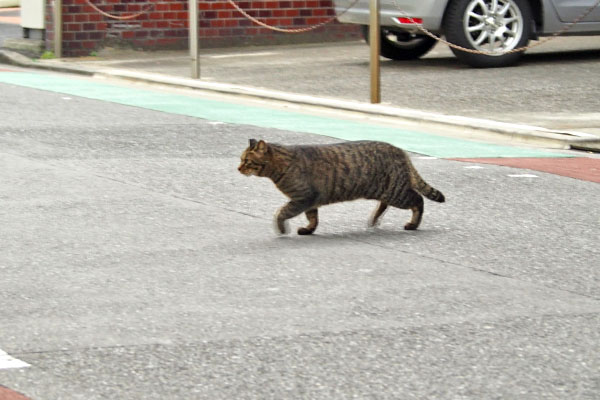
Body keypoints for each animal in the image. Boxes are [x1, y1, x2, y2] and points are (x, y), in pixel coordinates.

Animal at [239, 140, 446, 234]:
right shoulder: (310, 201)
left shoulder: (302, 198)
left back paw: (413, 224)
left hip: (397, 192)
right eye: (241, 160)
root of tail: (400, 150)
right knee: (385, 204)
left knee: (418, 200)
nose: (238, 168)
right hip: (387, 191)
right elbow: (312, 218)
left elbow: (282, 213)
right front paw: (309, 229)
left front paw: (282, 228)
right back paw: (374, 220)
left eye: (247, 161)